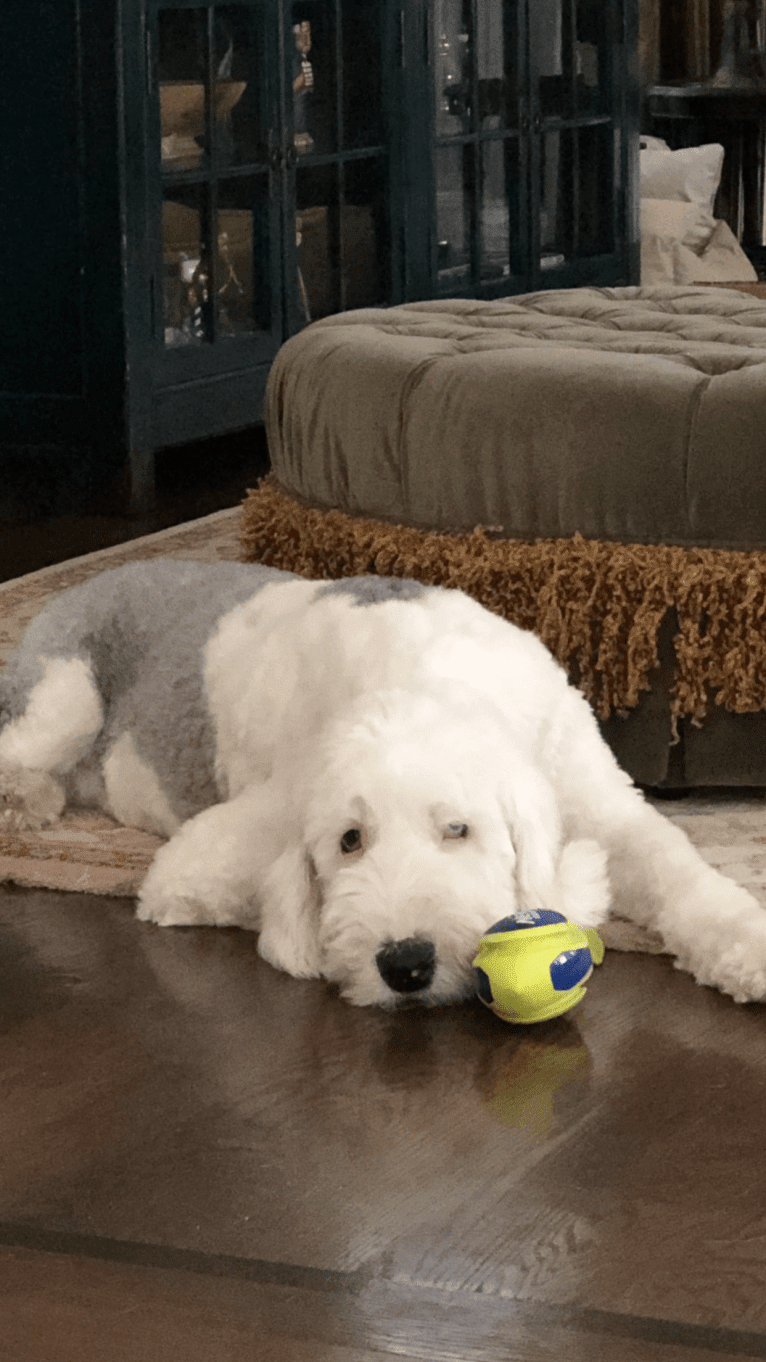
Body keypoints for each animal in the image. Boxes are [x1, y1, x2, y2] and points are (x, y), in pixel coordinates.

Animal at [1, 558, 763, 1007]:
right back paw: (22, 800)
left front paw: (746, 944)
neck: (420, 681)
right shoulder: (193, 864)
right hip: (62, 696)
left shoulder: (598, 797)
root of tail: (90, 576)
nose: (406, 965)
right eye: (349, 841)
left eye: (458, 829)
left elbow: (671, 865)